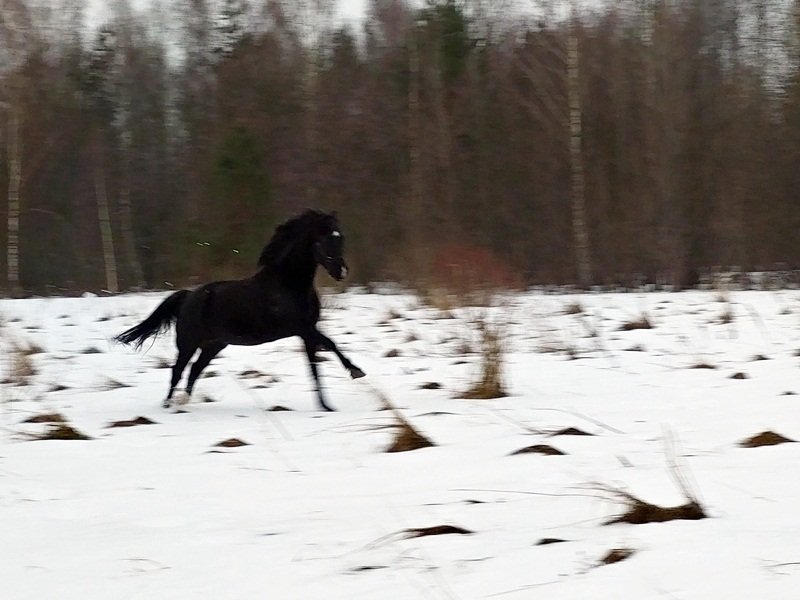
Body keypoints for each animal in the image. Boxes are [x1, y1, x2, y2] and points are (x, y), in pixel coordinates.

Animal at [115, 209, 365, 411]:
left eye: (340, 237)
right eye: (323, 240)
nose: (342, 272)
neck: (288, 285)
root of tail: (188, 296)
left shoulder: (307, 332)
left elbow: (315, 370)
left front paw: (326, 406)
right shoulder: (300, 328)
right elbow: (330, 344)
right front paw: (356, 371)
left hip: (214, 344)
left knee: (195, 369)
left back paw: (184, 401)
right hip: (188, 342)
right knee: (178, 370)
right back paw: (168, 405)